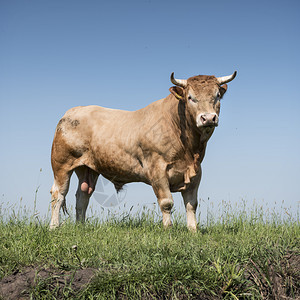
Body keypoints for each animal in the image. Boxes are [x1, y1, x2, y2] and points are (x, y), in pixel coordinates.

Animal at [49, 71, 237, 231]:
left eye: (217, 96)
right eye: (190, 97)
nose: (208, 118)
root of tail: (73, 111)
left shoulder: (196, 173)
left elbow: (191, 204)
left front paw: (193, 231)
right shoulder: (157, 169)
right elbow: (166, 202)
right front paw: (168, 230)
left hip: (88, 168)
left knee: (82, 196)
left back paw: (81, 226)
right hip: (61, 164)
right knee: (58, 194)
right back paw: (54, 227)